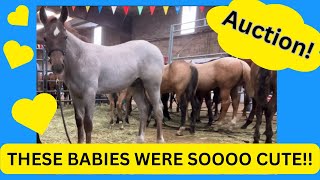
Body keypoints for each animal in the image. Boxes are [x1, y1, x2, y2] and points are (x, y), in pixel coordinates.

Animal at [39, 6, 165, 143]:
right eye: (45, 38)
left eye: (65, 37)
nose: (57, 66)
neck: (81, 58)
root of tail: (155, 49)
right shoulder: (75, 95)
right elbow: (79, 121)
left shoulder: (89, 93)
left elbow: (88, 123)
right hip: (136, 86)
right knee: (144, 109)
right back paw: (140, 138)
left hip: (152, 85)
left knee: (158, 108)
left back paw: (160, 139)